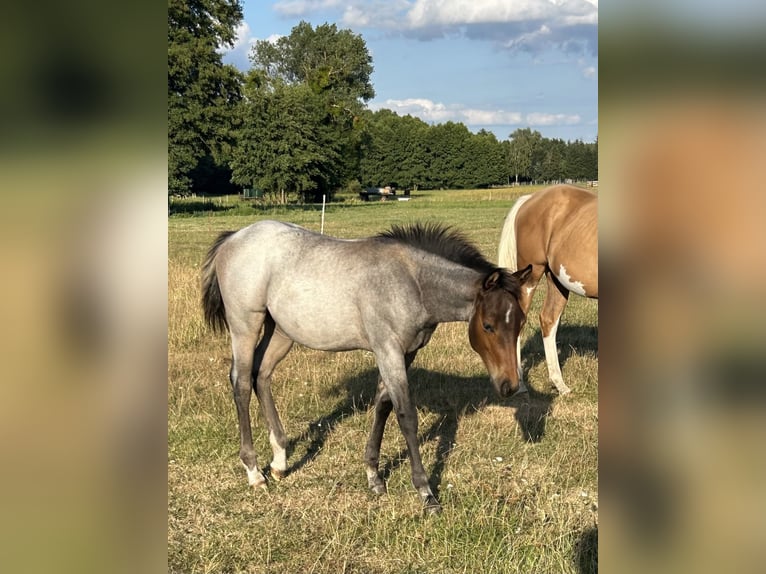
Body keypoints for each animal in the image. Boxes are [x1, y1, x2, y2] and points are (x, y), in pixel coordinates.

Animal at [201, 220, 532, 513]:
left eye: (520, 323)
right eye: (488, 326)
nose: (509, 385)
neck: (411, 282)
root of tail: (234, 237)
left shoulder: (405, 354)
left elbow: (383, 406)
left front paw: (374, 477)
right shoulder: (388, 351)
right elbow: (406, 416)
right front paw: (426, 493)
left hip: (281, 331)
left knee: (262, 375)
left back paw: (280, 460)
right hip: (245, 326)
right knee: (242, 382)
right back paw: (254, 472)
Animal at [498, 184, 598, 395]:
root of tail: (529, 199)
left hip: (556, 280)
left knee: (548, 320)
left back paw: (560, 385)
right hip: (531, 274)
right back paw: (521, 386)